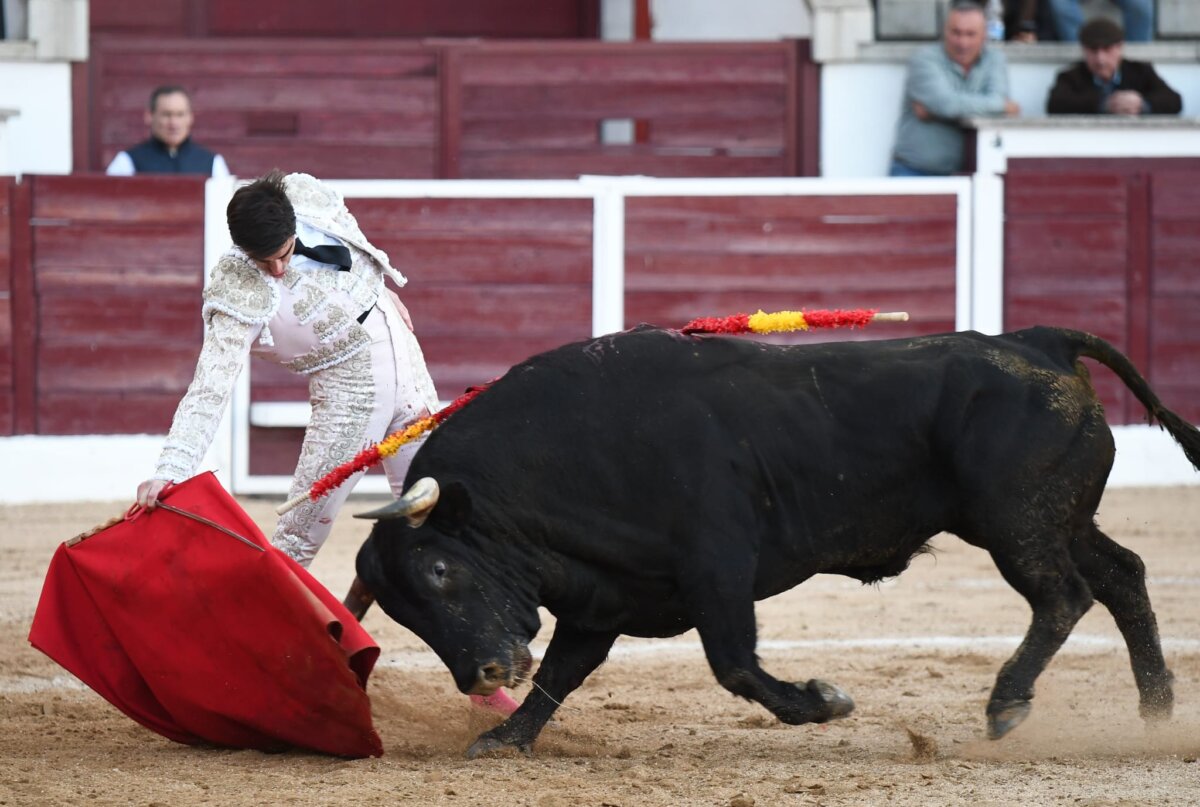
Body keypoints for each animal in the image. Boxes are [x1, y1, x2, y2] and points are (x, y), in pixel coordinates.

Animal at [347, 325, 1200, 758]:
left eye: (441, 569)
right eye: (405, 611)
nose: (481, 673)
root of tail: (1038, 341)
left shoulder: (718, 567)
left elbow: (733, 663)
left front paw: (824, 700)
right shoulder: (605, 594)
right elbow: (562, 672)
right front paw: (503, 736)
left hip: (1016, 523)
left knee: (1065, 594)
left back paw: (1008, 702)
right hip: (1058, 519)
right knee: (1122, 575)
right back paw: (1157, 711)